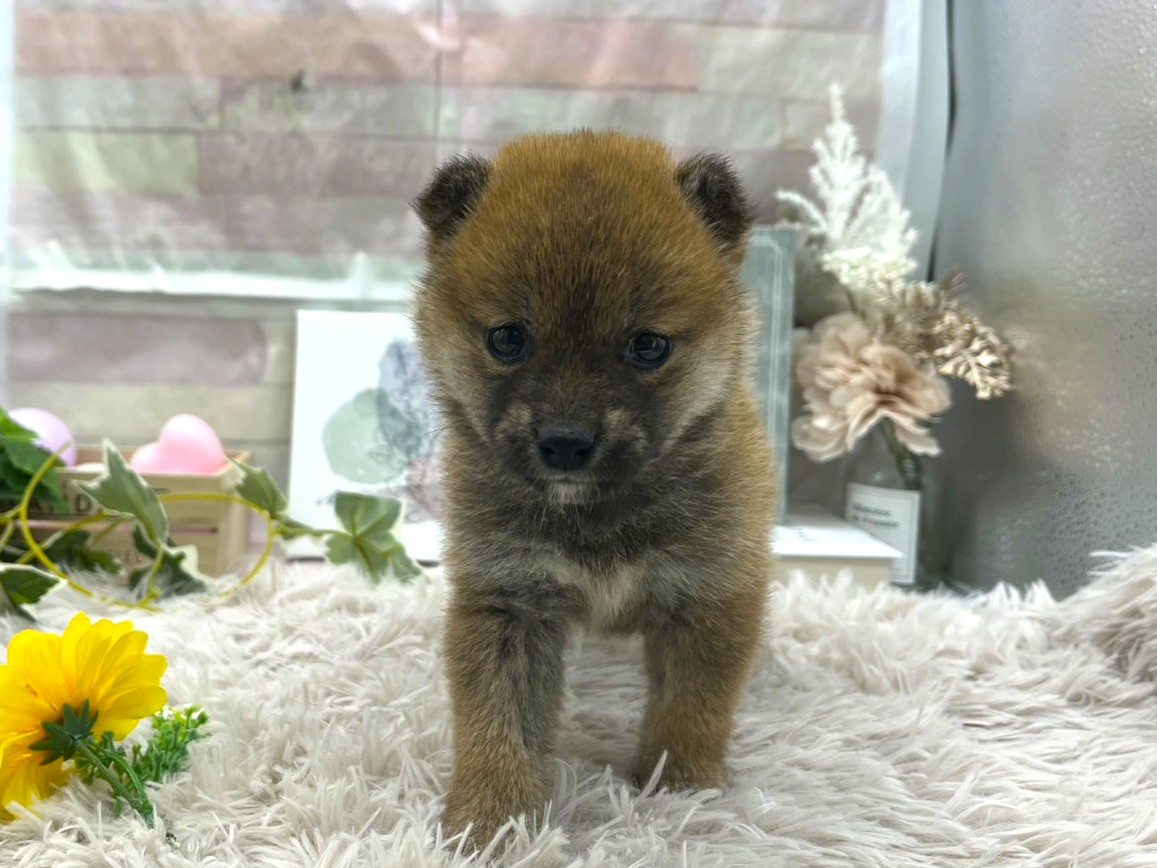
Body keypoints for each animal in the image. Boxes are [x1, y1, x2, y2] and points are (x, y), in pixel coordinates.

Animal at [412, 130, 776, 844]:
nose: (565, 443)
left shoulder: (710, 596)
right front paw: (490, 819)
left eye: (648, 346)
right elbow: (497, 723)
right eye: (507, 338)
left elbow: (692, 708)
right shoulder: (508, 602)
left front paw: (682, 790)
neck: (598, 516)